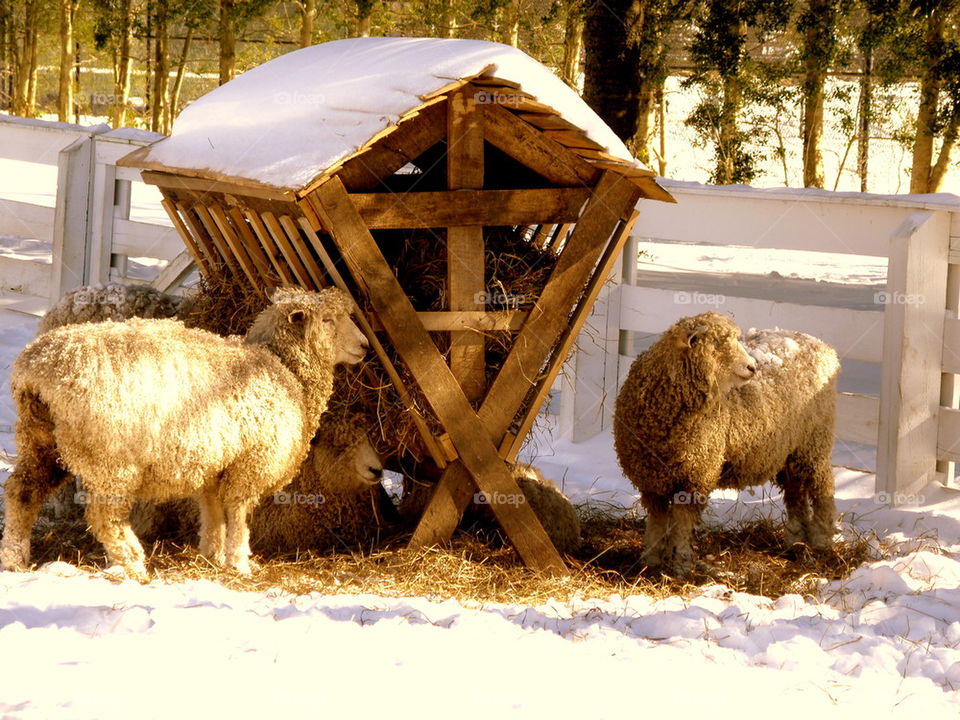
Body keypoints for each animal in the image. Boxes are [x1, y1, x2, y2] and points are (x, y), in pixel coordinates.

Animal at [0, 287, 368, 578]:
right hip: (111, 458)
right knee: (105, 516)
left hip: (41, 440)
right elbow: (238, 516)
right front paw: (240, 563)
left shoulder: (217, 465)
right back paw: (134, 564)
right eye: (328, 320)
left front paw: (213, 554)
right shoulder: (251, 462)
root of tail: (37, 367)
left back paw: (14, 559)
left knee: (23, 493)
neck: (284, 369)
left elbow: (213, 512)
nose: (365, 346)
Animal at [613, 311, 839, 577]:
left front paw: (681, 565)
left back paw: (822, 540)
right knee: (796, 494)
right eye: (718, 343)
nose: (753, 366)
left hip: (814, 442)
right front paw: (650, 561)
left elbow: (682, 526)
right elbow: (657, 523)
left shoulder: (696, 476)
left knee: (823, 488)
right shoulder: (651, 480)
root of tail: (822, 345)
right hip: (789, 451)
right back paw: (795, 541)